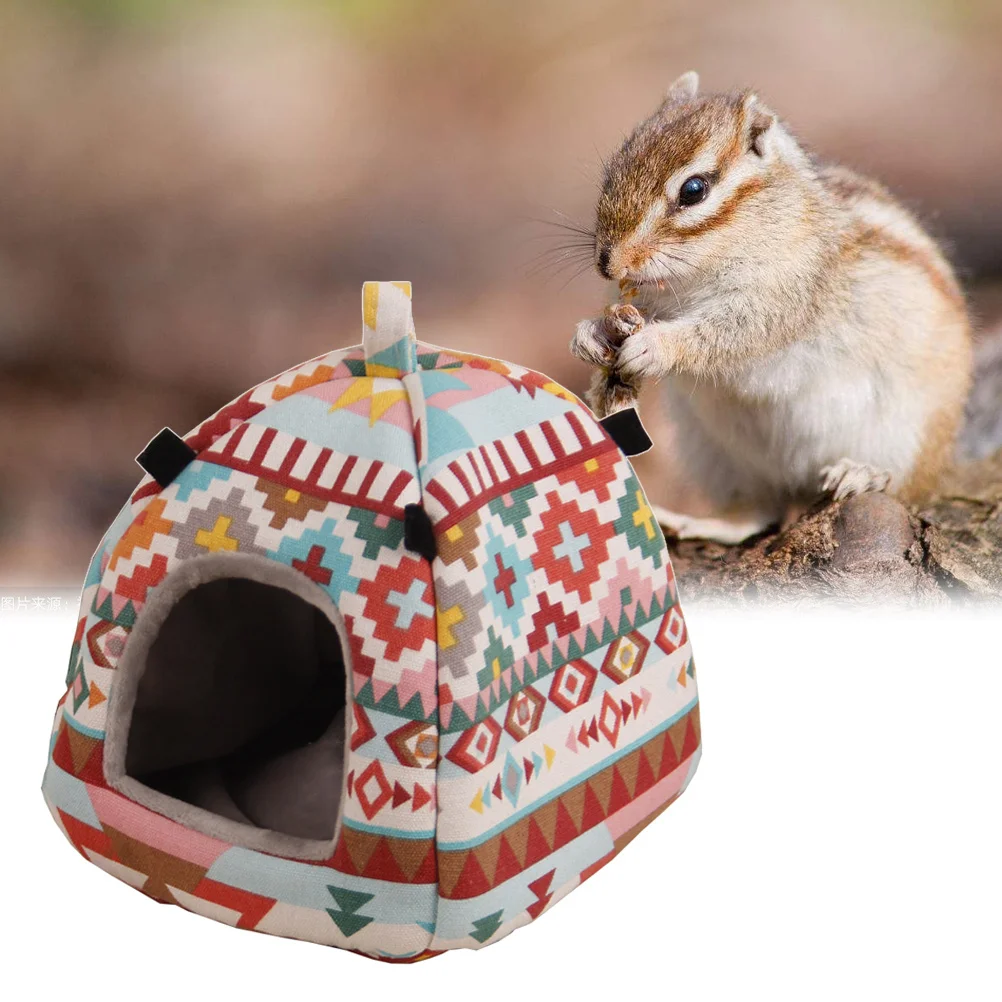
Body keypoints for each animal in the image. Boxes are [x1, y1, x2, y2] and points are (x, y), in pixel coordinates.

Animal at [570, 71, 973, 544]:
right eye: (614, 167)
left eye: (693, 190)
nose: (608, 263)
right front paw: (591, 335)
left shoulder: (787, 292)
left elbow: (731, 333)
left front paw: (656, 346)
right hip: (718, 457)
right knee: (761, 511)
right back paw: (705, 523)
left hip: (906, 436)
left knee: (906, 488)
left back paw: (864, 474)